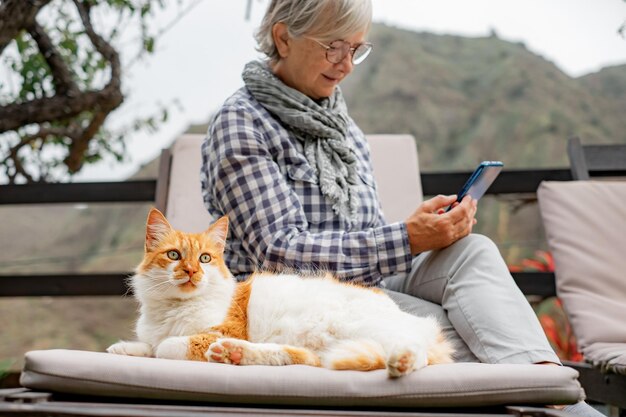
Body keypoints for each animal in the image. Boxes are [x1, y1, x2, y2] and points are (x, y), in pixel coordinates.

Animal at [106, 210, 448, 376]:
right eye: (175, 255)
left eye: (204, 259)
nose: (191, 271)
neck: (173, 308)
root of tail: (429, 329)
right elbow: (148, 345)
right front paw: (124, 348)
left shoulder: (223, 329)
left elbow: (166, 346)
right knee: (305, 358)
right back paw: (234, 354)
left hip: (363, 329)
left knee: (416, 354)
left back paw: (402, 362)